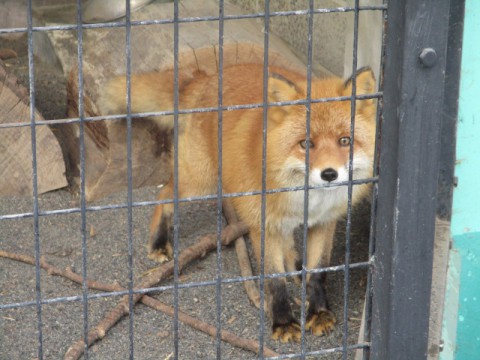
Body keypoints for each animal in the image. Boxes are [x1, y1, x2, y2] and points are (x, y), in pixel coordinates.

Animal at [101, 64, 376, 344]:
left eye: (345, 140)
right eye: (305, 144)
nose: (329, 174)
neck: (307, 198)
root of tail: (207, 77)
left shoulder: (323, 222)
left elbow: (318, 271)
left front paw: (318, 312)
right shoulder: (263, 224)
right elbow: (274, 281)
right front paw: (283, 322)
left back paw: (296, 268)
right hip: (200, 182)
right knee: (165, 194)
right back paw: (158, 241)